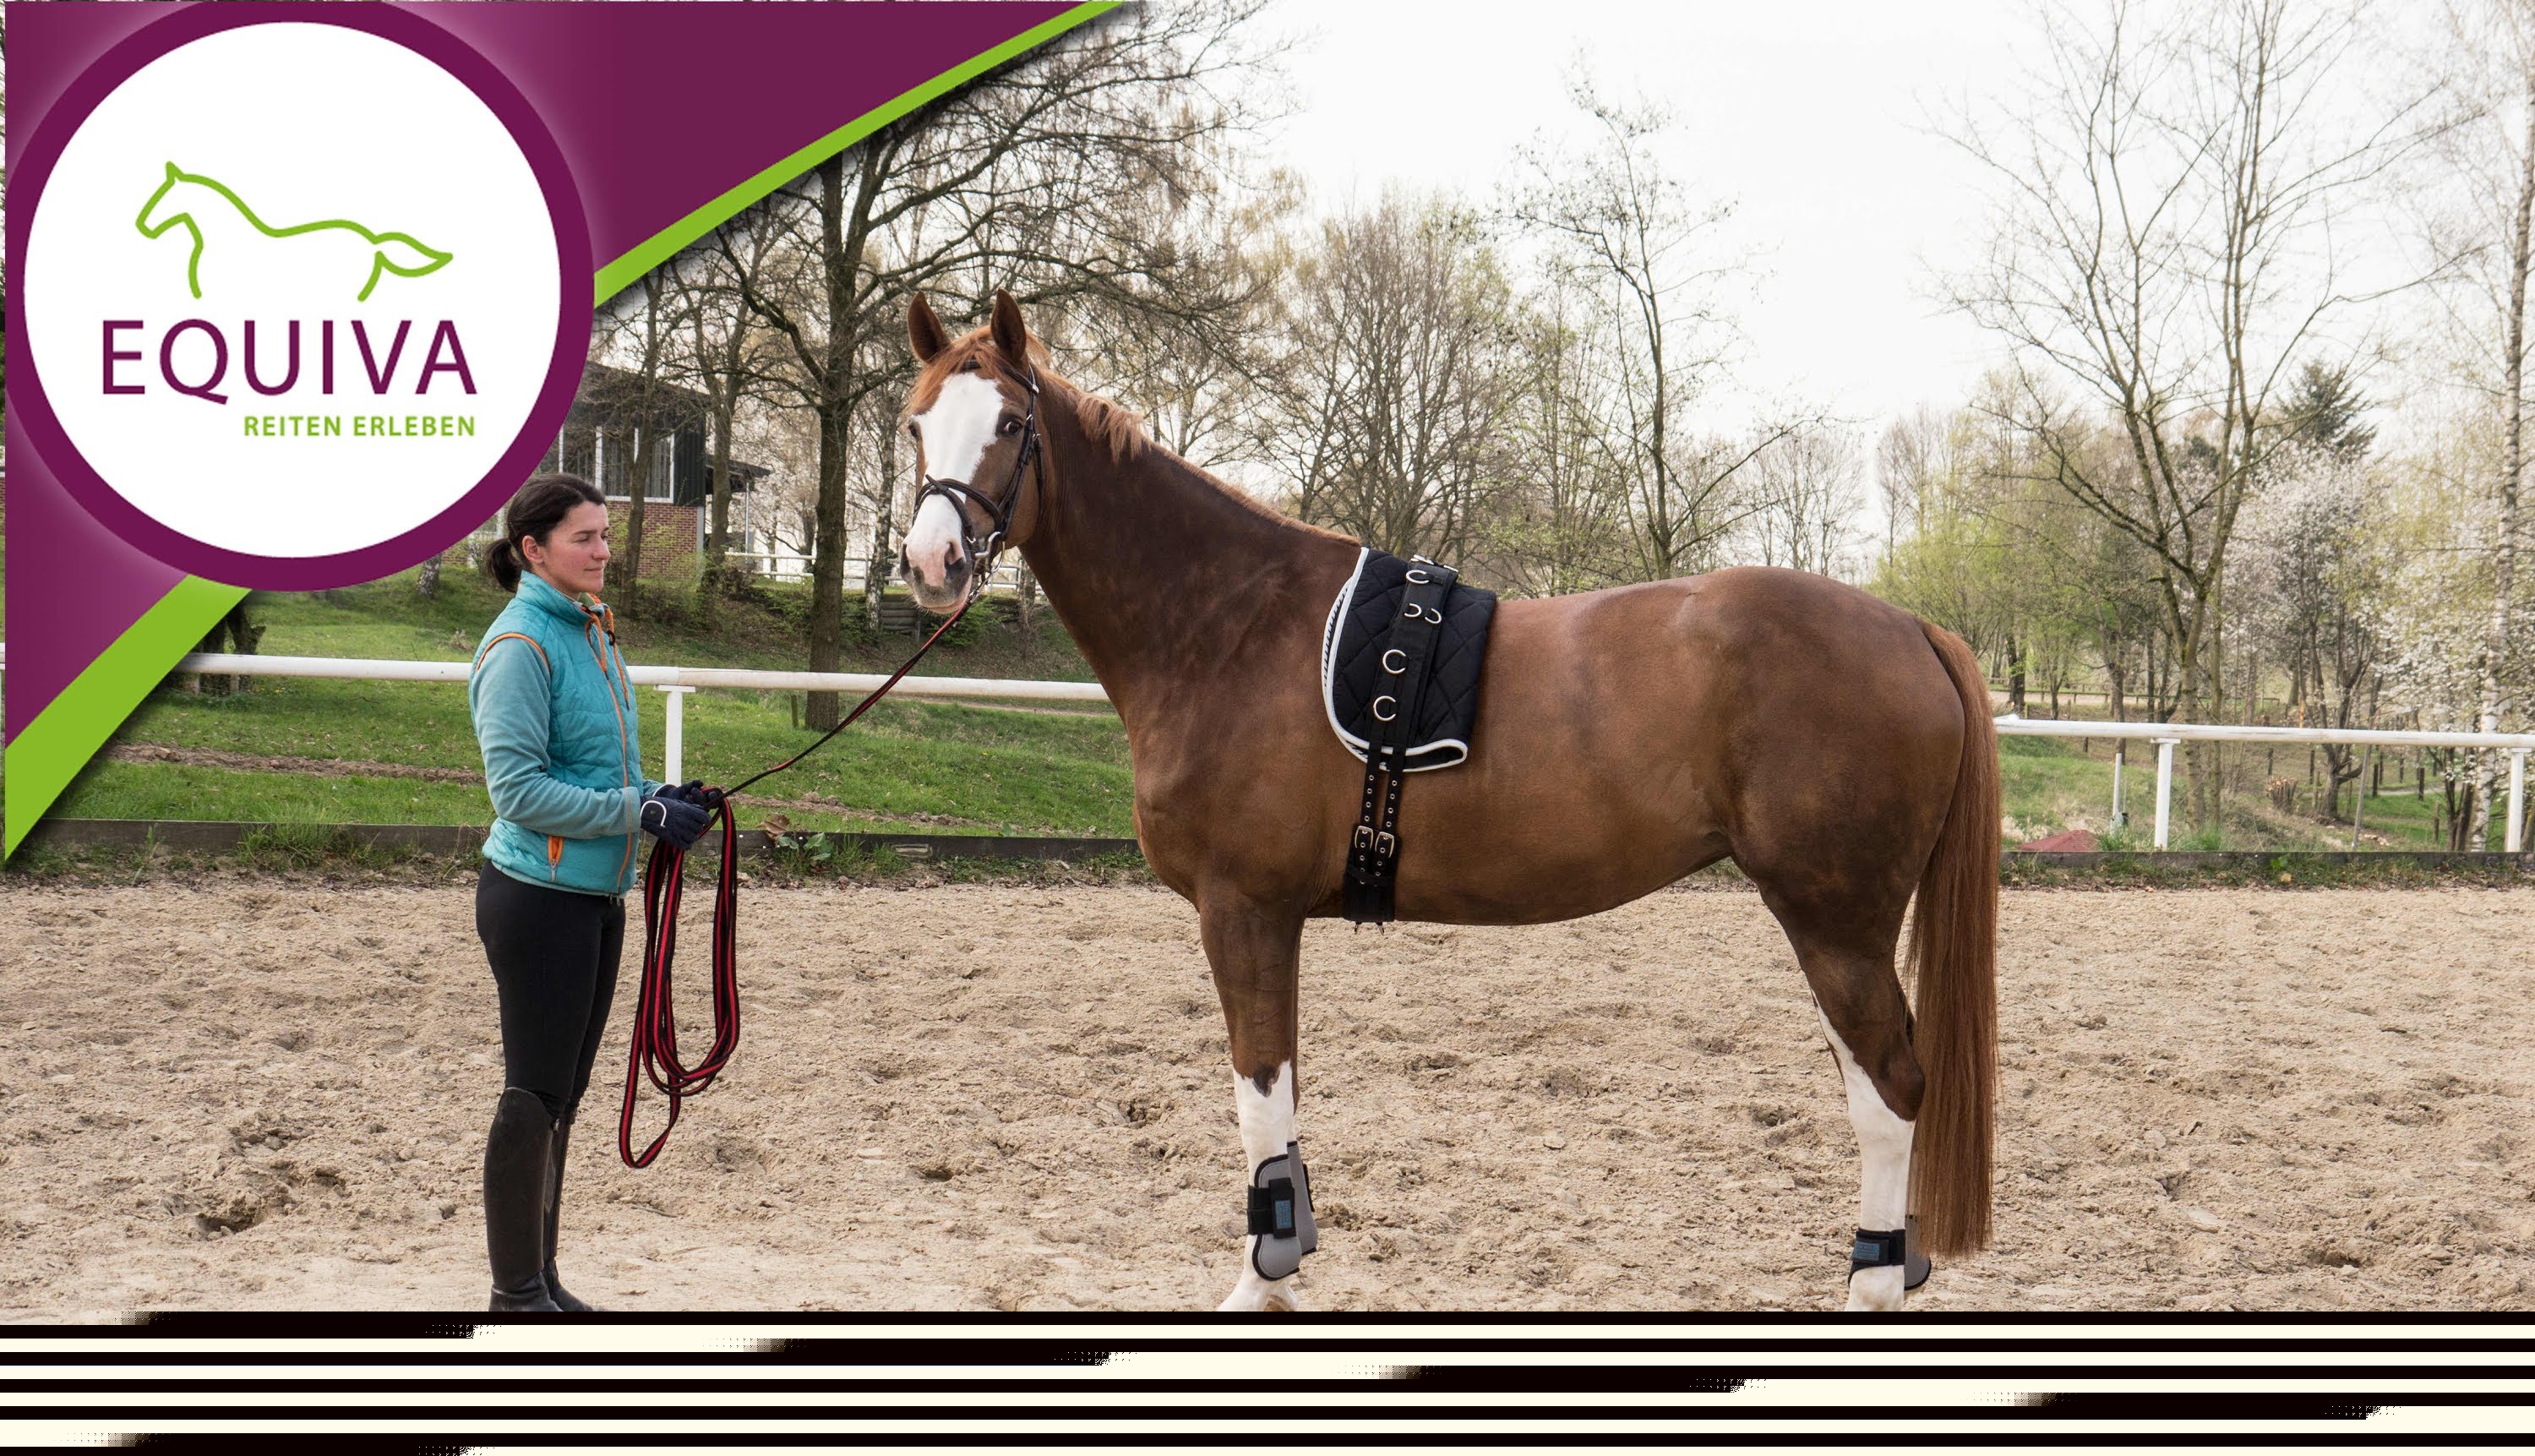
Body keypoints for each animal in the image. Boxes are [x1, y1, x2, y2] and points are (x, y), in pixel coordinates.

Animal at [894, 291, 1999, 1312]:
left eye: (1010, 424)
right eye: (914, 424)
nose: (931, 562)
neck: (1228, 625)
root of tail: (1912, 628)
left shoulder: (1243, 910)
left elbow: (1258, 1099)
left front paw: (1261, 1282)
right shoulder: (1268, 919)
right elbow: (1280, 1097)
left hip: (1834, 922)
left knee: (1890, 1090)